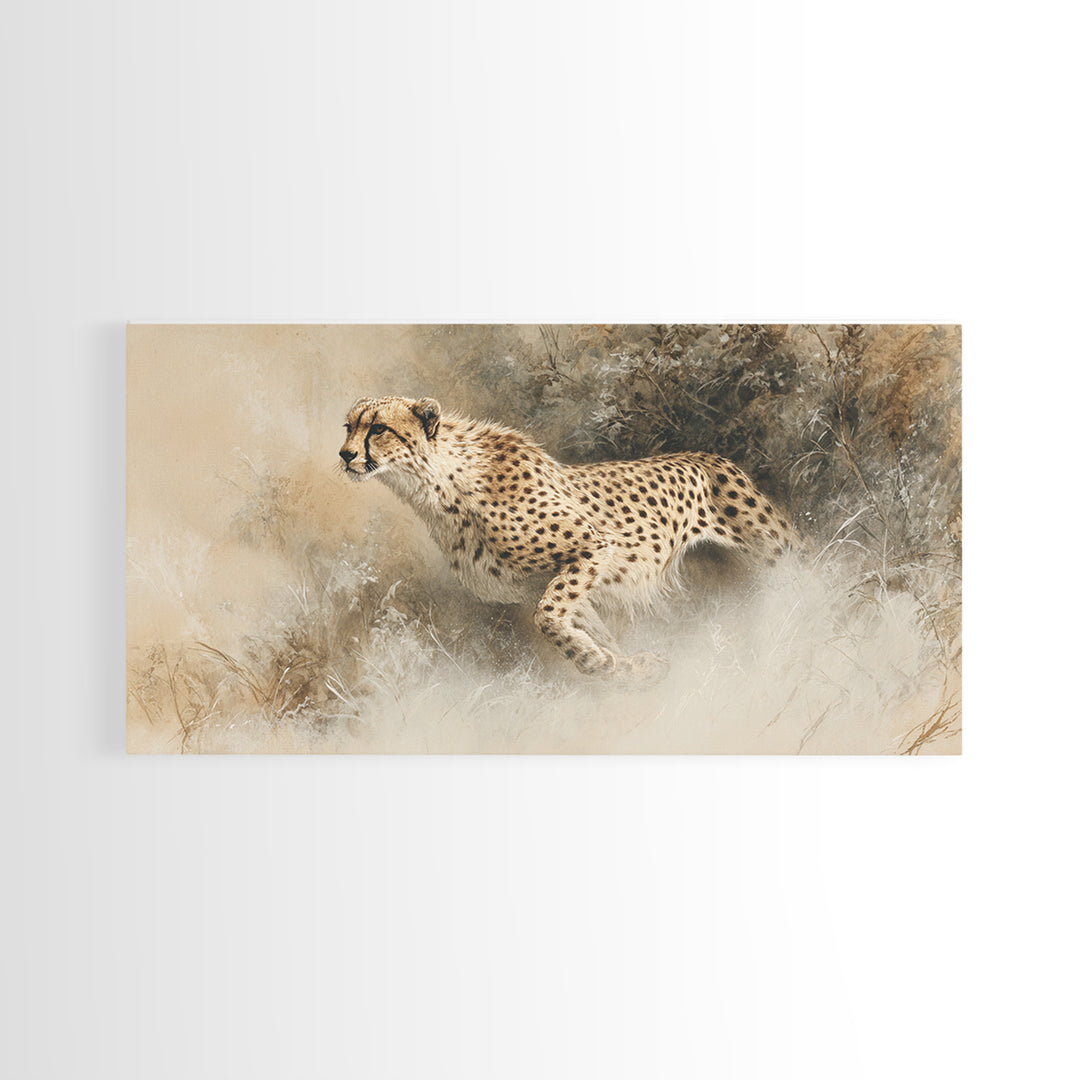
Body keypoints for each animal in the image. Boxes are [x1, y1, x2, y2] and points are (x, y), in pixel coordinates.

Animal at [339, 395, 797, 685]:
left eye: (378, 428)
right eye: (348, 427)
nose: (345, 454)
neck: (439, 484)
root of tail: (709, 455)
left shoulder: (592, 548)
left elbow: (547, 618)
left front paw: (596, 662)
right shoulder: (543, 584)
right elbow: (586, 626)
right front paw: (626, 667)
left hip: (775, 553)